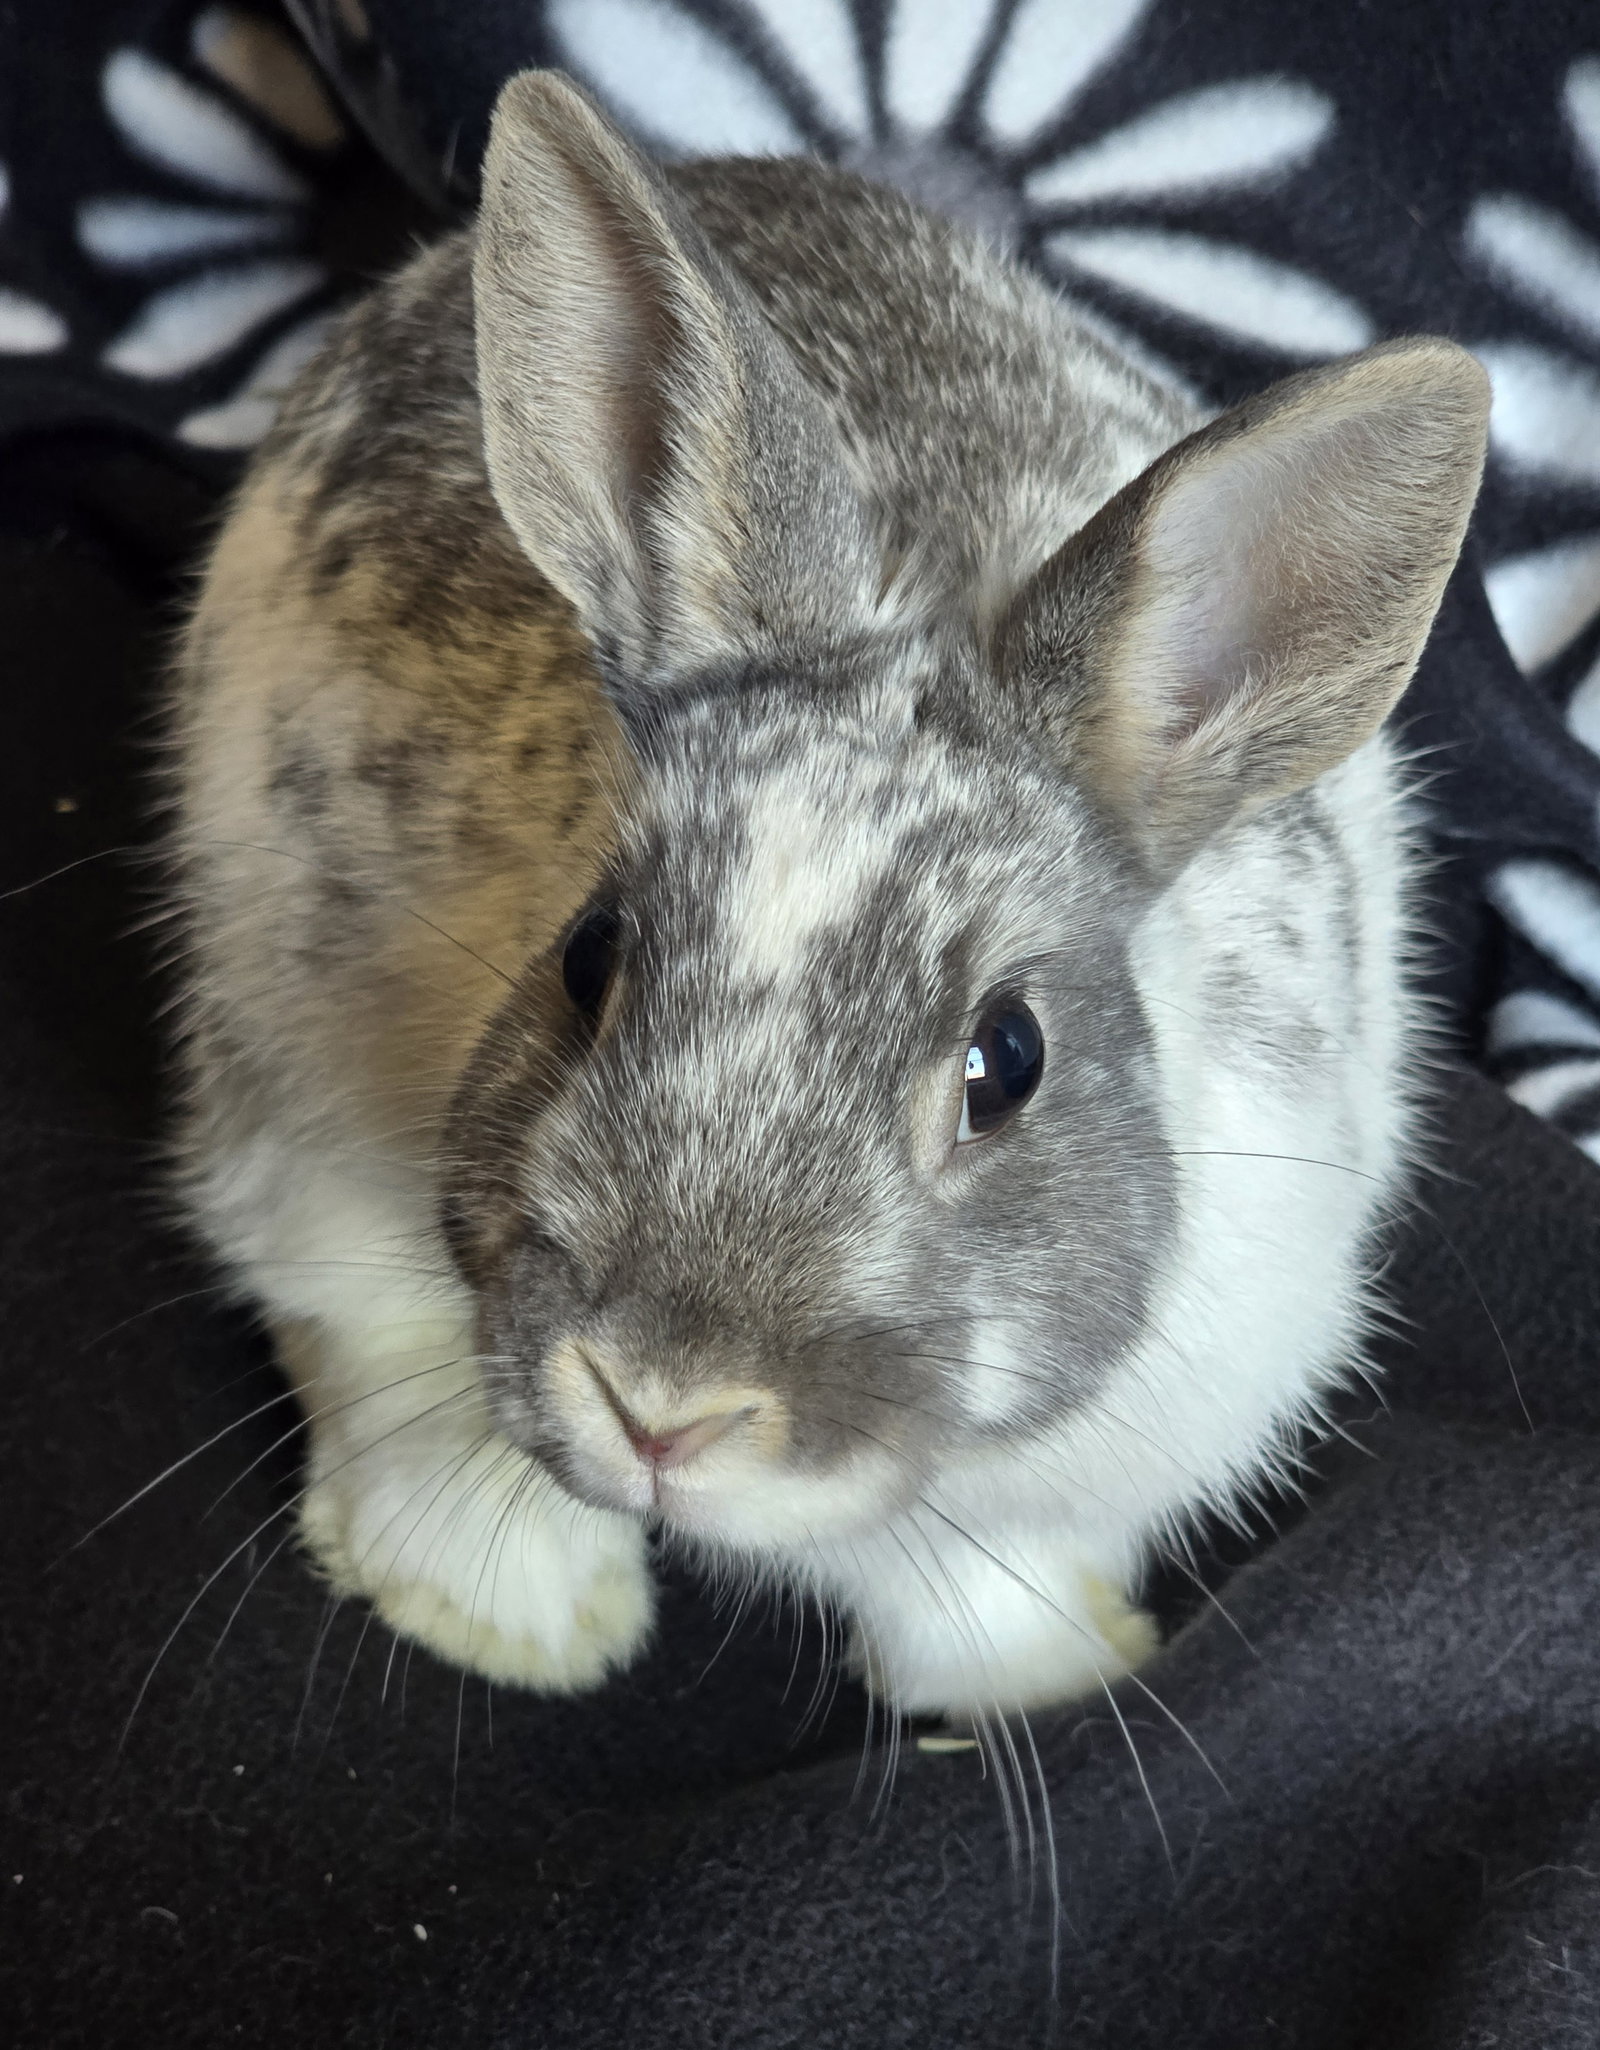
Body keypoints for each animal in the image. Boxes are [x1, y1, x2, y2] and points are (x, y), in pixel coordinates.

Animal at [165, 67, 1488, 1721]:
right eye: (589, 954)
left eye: (1007, 1060)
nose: (661, 1407)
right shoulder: (318, 1178)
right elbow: (407, 1398)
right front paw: (495, 1622)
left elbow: (986, 1588)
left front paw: (1040, 1682)